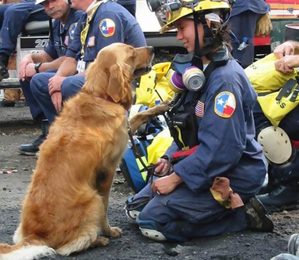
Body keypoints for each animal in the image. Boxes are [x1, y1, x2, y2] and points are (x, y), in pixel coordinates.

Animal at [0, 43, 154, 260]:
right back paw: (99, 239)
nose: (152, 48)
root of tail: (34, 236)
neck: (100, 96)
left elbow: (140, 114)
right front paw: (109, 231)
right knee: (68, 247)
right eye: (132, 52)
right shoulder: (107, 172)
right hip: (92, 199)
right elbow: (106, 207)